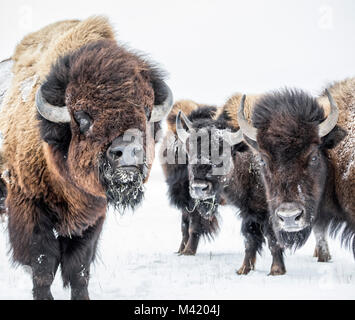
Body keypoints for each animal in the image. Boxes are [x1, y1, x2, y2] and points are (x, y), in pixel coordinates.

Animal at [0, 16, 174, 298]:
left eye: (147, 111)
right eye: (82, 117)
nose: (128, 151)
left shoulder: (92, 217)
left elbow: (78, 268)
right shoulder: (28, 205)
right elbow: (42, 265)